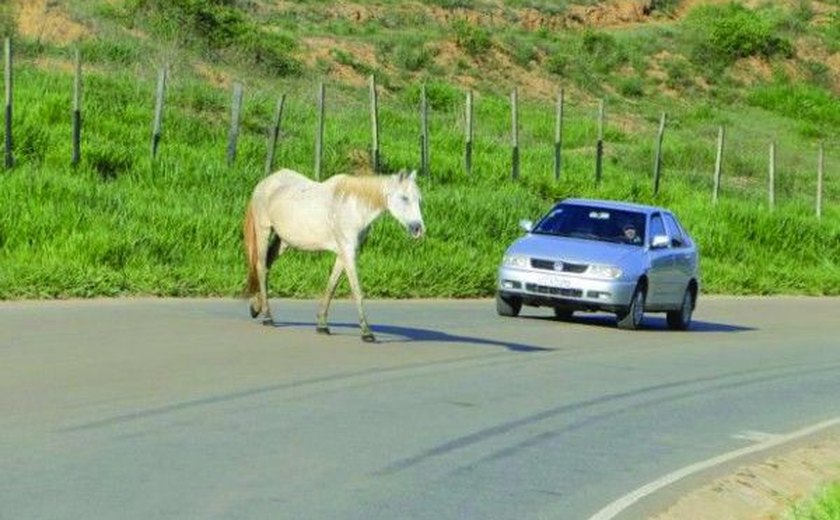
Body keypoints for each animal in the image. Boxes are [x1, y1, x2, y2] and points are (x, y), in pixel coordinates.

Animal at [243, 169, 426, 344]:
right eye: (404, 198)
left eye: (419, 199)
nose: (418, 229)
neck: (352, 206)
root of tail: (264, 183)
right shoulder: (348, 252)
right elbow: (357, 291)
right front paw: (366, 333)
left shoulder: (343, 253)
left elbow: (331, 286)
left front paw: (322, 325)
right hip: (264, 231)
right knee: (261, 268)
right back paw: (267, 316)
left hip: (284, 241)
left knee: (267, 265)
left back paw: (256, 306)